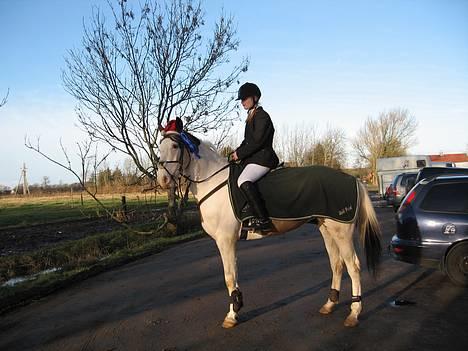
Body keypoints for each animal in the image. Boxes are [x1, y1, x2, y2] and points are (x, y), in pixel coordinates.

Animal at [157, 131, 380, 328]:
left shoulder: (226, 240)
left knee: (353, 267)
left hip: (342, 232)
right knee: (337, 264)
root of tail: (352, 179)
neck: (213, 182)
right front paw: (236, 309)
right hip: (327, 229)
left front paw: (232, 315)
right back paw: (329, 304)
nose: (163, 180)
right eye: (160, 146)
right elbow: (232, 276)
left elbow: (229, 277)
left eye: (175, 146)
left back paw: (354, 313)